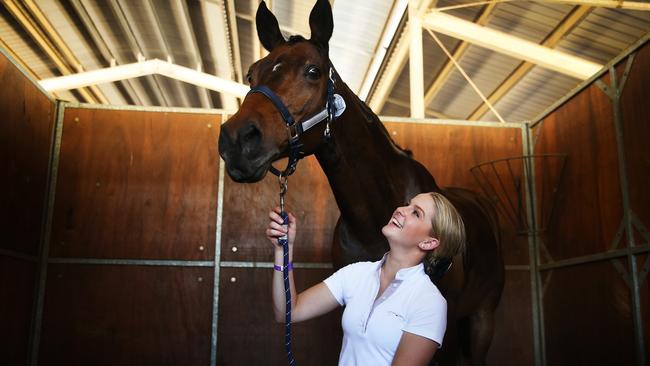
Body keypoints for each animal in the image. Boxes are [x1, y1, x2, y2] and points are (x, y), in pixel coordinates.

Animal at [220, 1, 504, 364]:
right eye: (251, 74)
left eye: (313, 71)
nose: (235, 140)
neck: (374, 221)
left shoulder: (445, 325)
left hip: (482, 317)